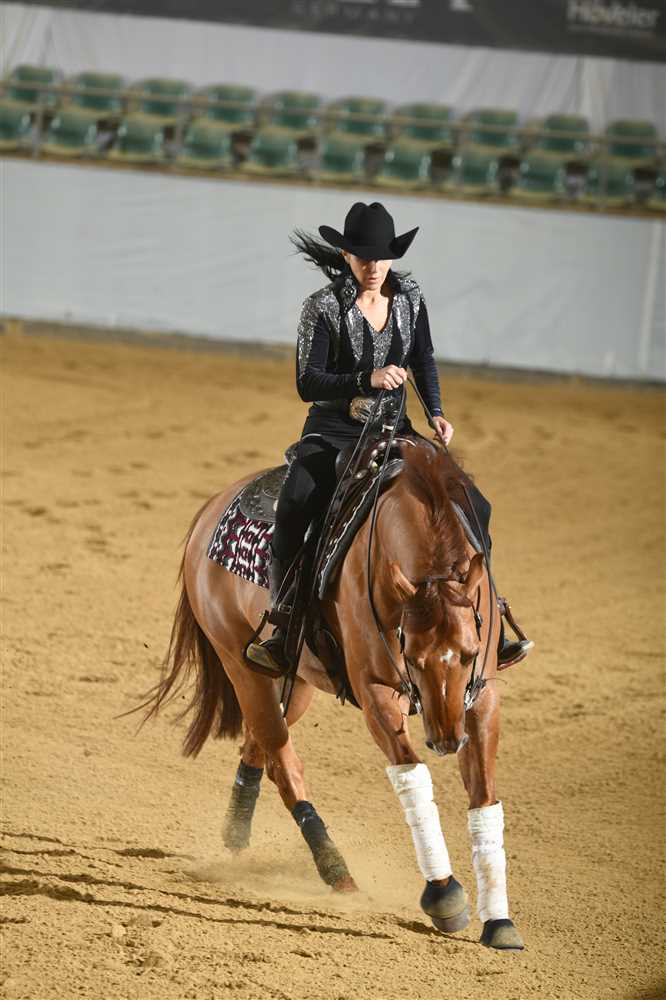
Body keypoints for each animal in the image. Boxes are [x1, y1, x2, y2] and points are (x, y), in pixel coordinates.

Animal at [142, 436, 525, 951]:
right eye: (412, 654)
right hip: (241, 667)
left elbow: (484, 795)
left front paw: (498, 921)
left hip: (296, 682)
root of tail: (210, 510)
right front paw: (443, 895)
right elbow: (412, 777)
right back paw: (336, 871)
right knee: (285, 765)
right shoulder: (376, 693)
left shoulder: (480, 697)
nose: (447, 739)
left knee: (261, 748)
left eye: (467, 653)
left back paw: (237, 829)